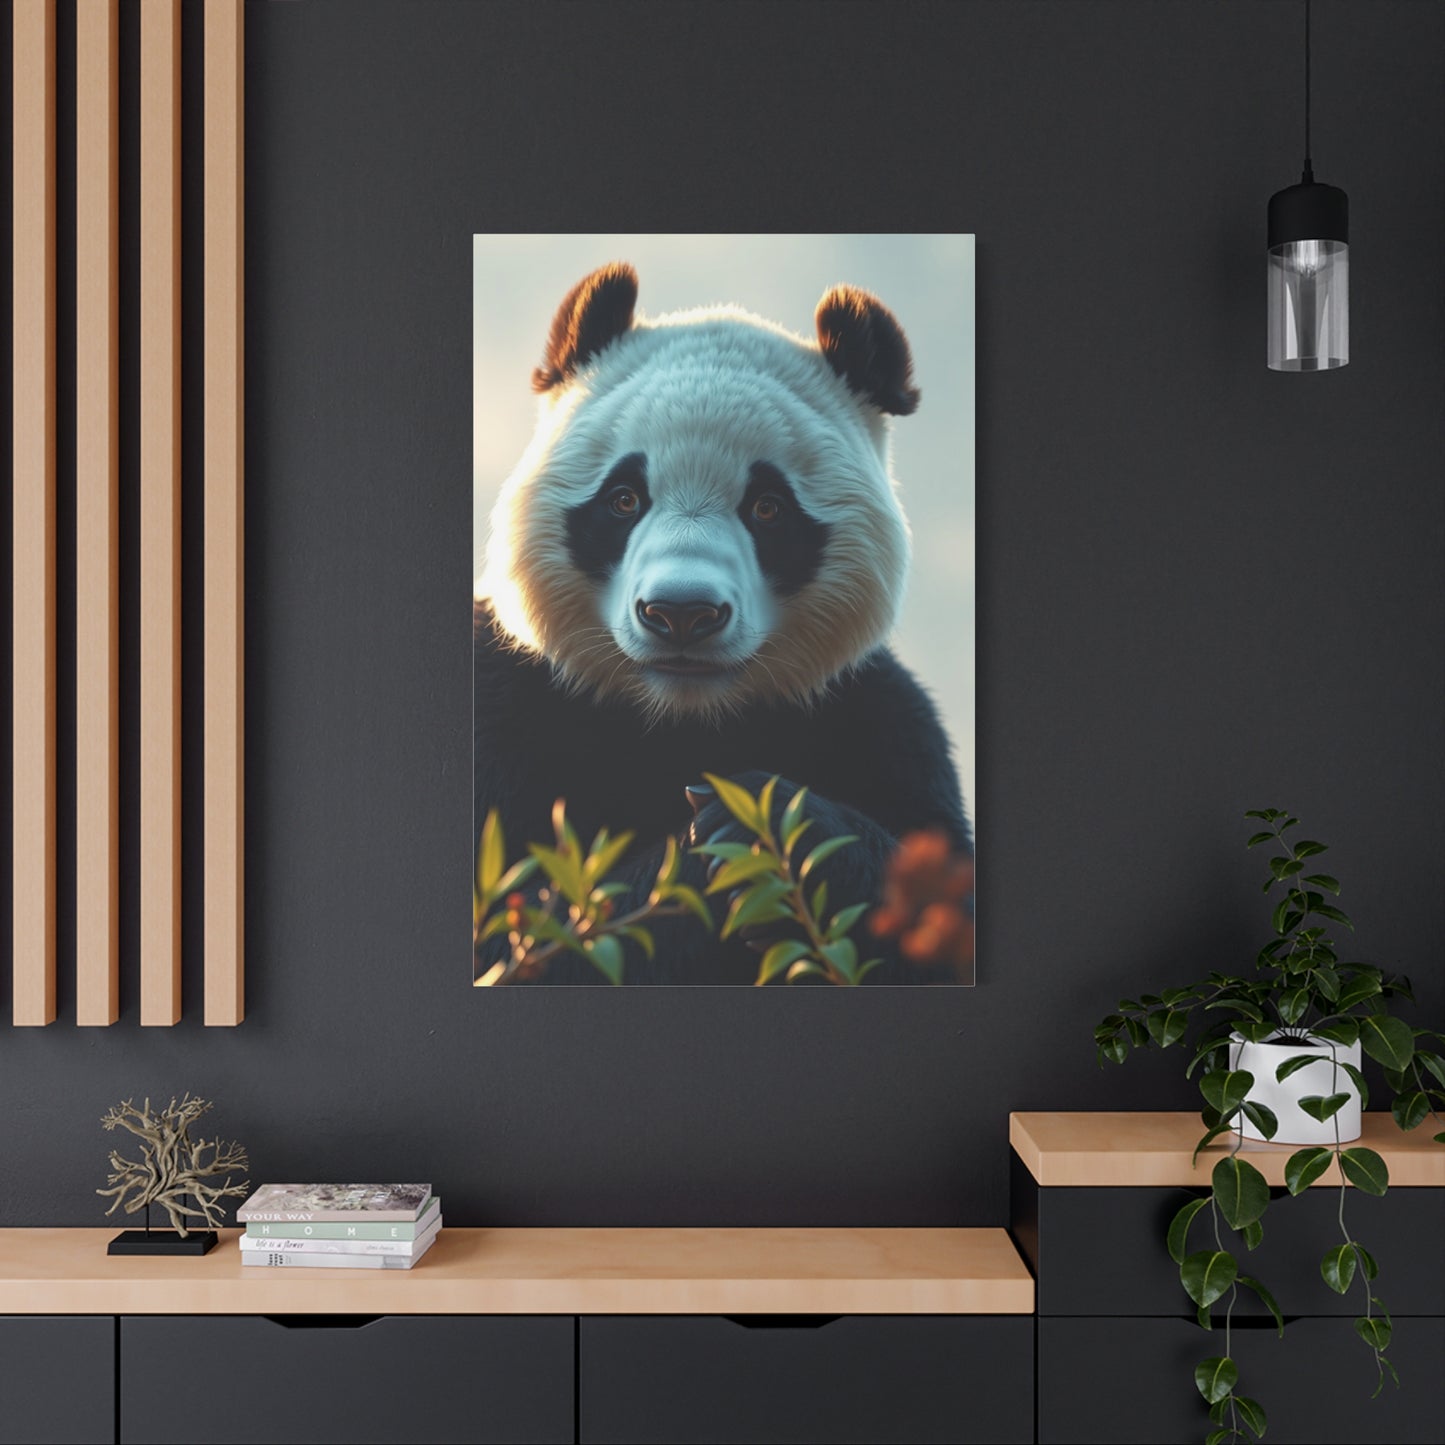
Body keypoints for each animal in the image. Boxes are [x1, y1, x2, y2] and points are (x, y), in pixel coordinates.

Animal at [475, 262, 970, 984]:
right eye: (623, 499)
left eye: (767, 507)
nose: (681, 613)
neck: (684, 718)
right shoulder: (508, 706)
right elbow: (522, 936)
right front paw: (710, 851)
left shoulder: (878, 720)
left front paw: (764, 824)